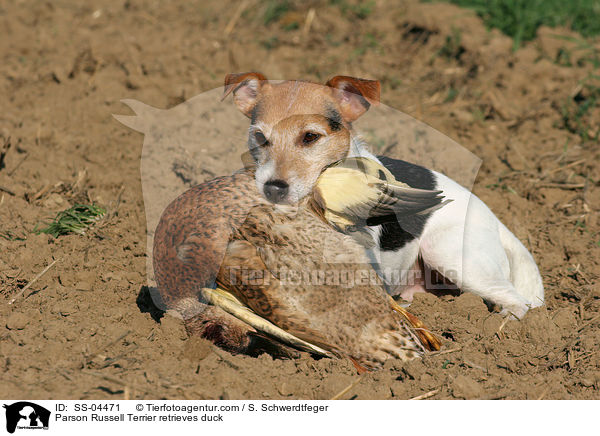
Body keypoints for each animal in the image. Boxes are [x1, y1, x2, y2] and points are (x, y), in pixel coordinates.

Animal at [224, 70, 544, 316]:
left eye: (311, 137)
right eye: (260, 137)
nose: (273, 188)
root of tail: (496, 221)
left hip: (450, 254)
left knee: (519, 301)